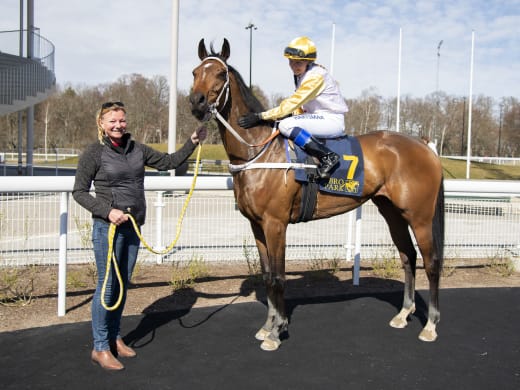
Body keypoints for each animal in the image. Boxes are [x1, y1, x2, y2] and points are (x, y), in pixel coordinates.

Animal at [189, 38, 444, 352]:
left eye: (220, 74)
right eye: (195, 72)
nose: (197, 102)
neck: (258, 151)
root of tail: (423, 144)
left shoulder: (275, 224)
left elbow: (278, 277)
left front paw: (277, 331)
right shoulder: (257, 225)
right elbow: (266, 275)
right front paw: (267, 326)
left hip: (420, 216)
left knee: (431, 262)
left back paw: (430, 325)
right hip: (392, 212)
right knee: (407, 255)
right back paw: (404, 313)